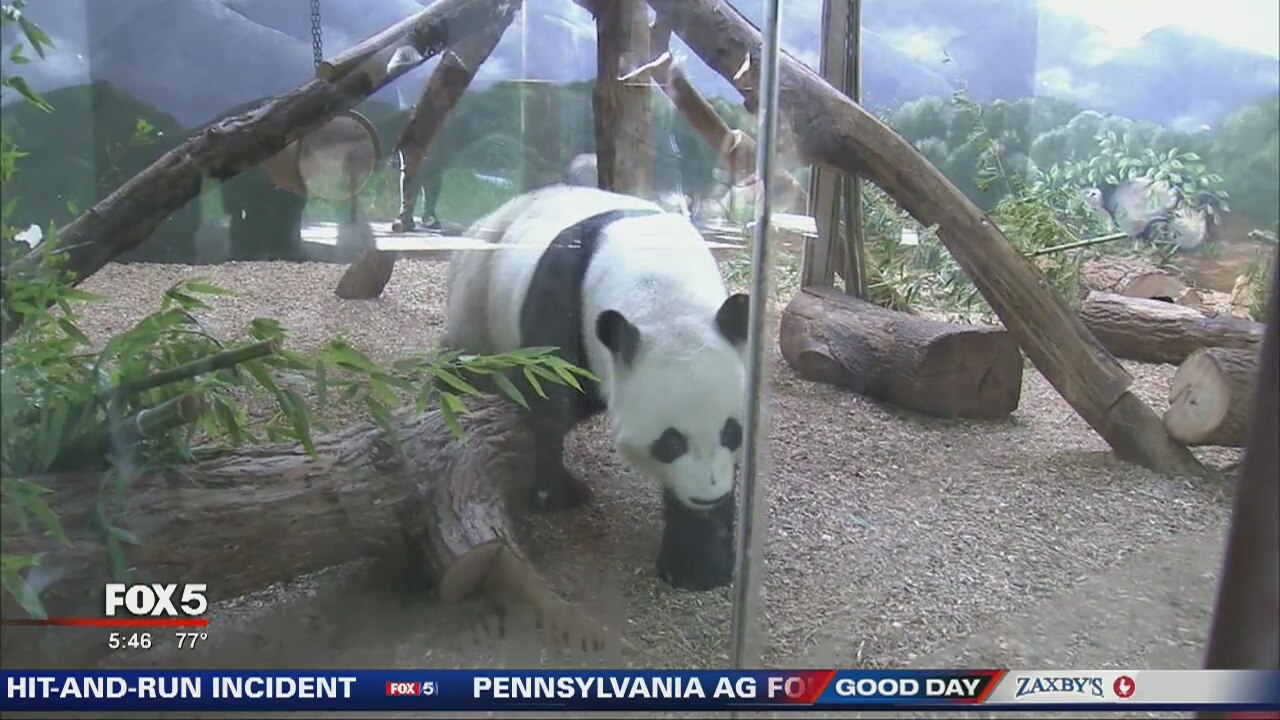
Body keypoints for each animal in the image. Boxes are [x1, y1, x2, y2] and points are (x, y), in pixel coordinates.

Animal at [441, 184, 750, 591]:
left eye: (732, 432)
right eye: (670, 443)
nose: (706, 495)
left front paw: (698, 565)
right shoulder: (564, 292)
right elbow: (549, 397)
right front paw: (554, 495)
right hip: (479, 301)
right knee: (468, 364)